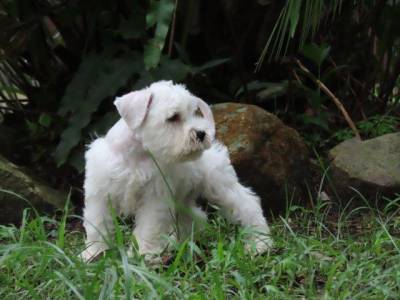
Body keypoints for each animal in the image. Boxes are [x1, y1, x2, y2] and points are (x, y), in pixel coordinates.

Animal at [83, 81, 274, 262]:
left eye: (193, 112)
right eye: (173, 117)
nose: (201, 134)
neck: (136, 156)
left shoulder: (153, 199)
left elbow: (148, 227)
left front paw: (143, 254)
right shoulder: (100, 195)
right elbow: (97, 224)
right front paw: (94, 253)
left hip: (221, 186)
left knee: (247, 204)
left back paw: (260, 243)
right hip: (184, 199)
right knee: (194, 217)